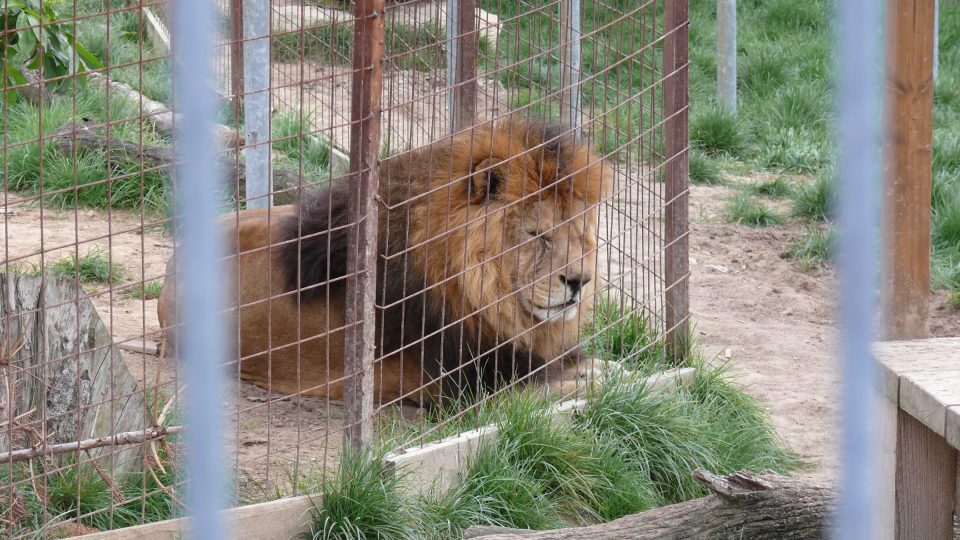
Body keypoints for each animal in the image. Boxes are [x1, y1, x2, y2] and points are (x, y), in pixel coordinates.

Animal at [159, 117, 616, 404]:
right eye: (538, 235)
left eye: (579, 235)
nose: (580, 282)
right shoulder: (476, 391)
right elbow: (591, 388)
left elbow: (601, 365)